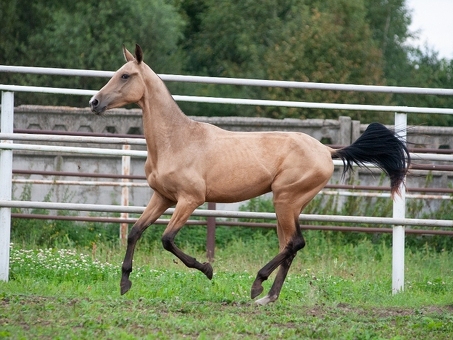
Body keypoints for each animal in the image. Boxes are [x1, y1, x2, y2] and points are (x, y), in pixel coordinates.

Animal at [88, 45, 410, 306]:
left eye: (125, 76)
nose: (94, 102)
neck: (177, 141)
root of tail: (326, 149)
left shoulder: (190, 199)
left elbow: (167, 239)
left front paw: (208, 269)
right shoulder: (162, 197)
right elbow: (135, 231)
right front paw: (125, 283)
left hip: (285, 200)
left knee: (295, 243)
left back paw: (258, 285)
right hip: (291, 205)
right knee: (290, 246)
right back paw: (269, 297)